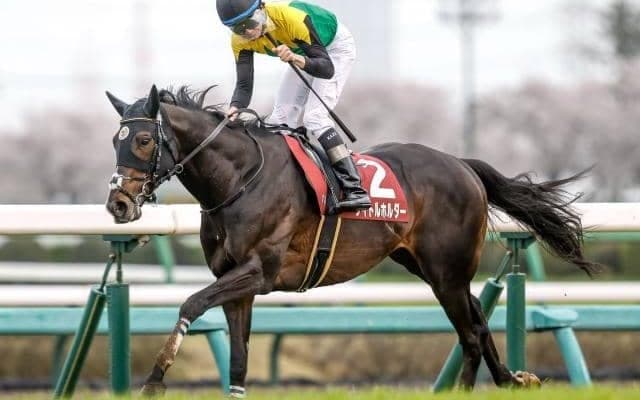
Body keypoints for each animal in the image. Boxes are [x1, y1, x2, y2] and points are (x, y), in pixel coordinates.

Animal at [105, 84, 599, 397]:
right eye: (116, 140)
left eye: (144, 139)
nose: (119, 205)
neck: (239, 181)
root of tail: (462, 164)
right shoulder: (236, 281)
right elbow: (239, 353)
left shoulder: (259, 272)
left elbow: (190, 303)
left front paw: (154, 380)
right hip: (427, 266)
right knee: (477, 314)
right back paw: (510, 378)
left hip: (446, 271)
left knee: (471, 332)